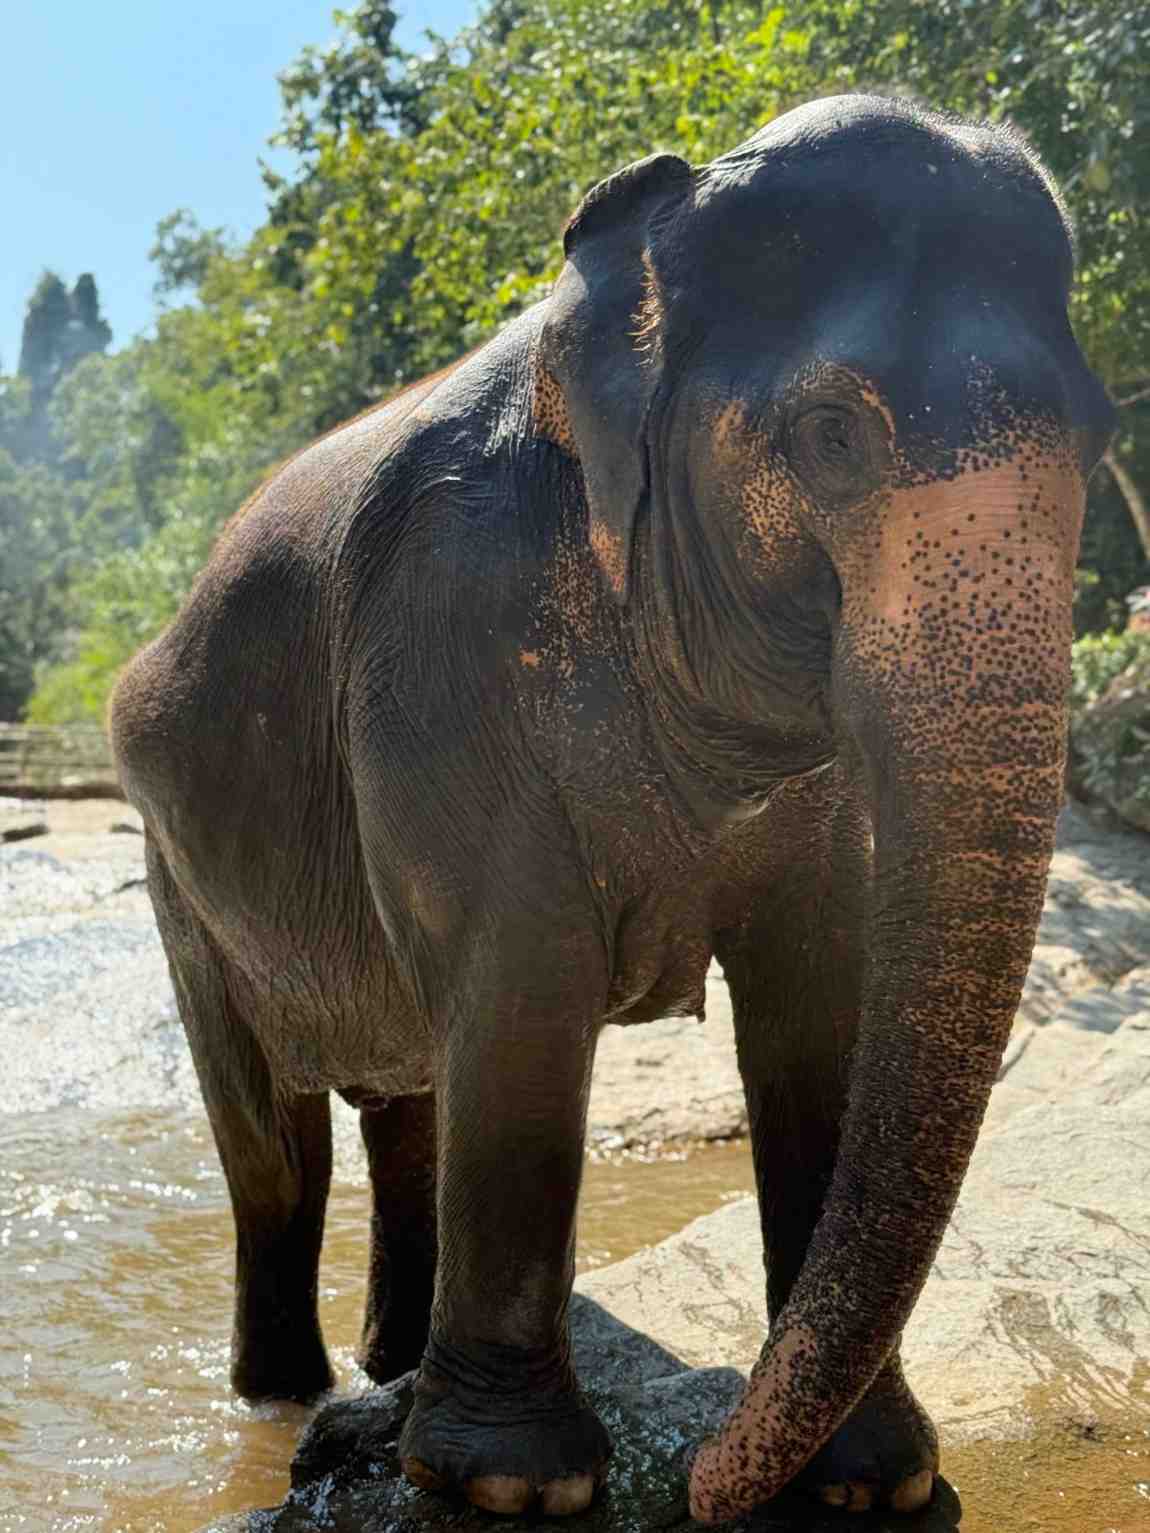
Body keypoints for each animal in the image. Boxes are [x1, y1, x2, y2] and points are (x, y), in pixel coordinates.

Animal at [110, 94, 1114, 1522]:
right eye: (832, 436)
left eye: (1099, 439)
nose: (700, 1480)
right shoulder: (443, 652)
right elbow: (525, 987)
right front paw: (512, 1489)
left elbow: (821, 1000)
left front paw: (876, 1481)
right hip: (177, 872)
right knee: (273, 1144)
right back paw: (285, 1400)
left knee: (411, 1102)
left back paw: (389, 1370)